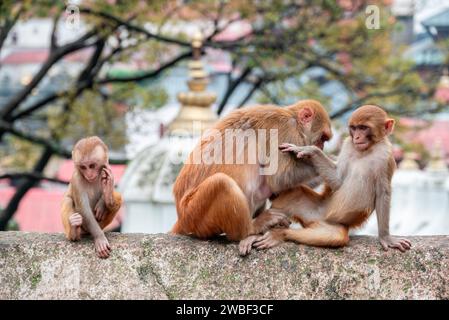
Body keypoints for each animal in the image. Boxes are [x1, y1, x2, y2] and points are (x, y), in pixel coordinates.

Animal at [172, 99, 332, 244]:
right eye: (323, 138)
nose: (322, 147)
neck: (294, 119)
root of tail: (181, 217)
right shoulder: (286, 129)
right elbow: (279, 178)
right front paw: (324, 160)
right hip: (194, 214)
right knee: (222, 183)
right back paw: (251, 228)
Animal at [243, 105, 412, 255]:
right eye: (354, 128)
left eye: (364, 128)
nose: (357, 137)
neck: (366, 150)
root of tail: (315, 219)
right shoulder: (348, 145)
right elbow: (338, 180)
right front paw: (310, 150)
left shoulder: (386, 157)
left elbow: (383, 193)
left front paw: (386, 237)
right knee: (293, 194)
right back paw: (264, 229)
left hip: (332, 224)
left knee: (334, 237)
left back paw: (280, 234)